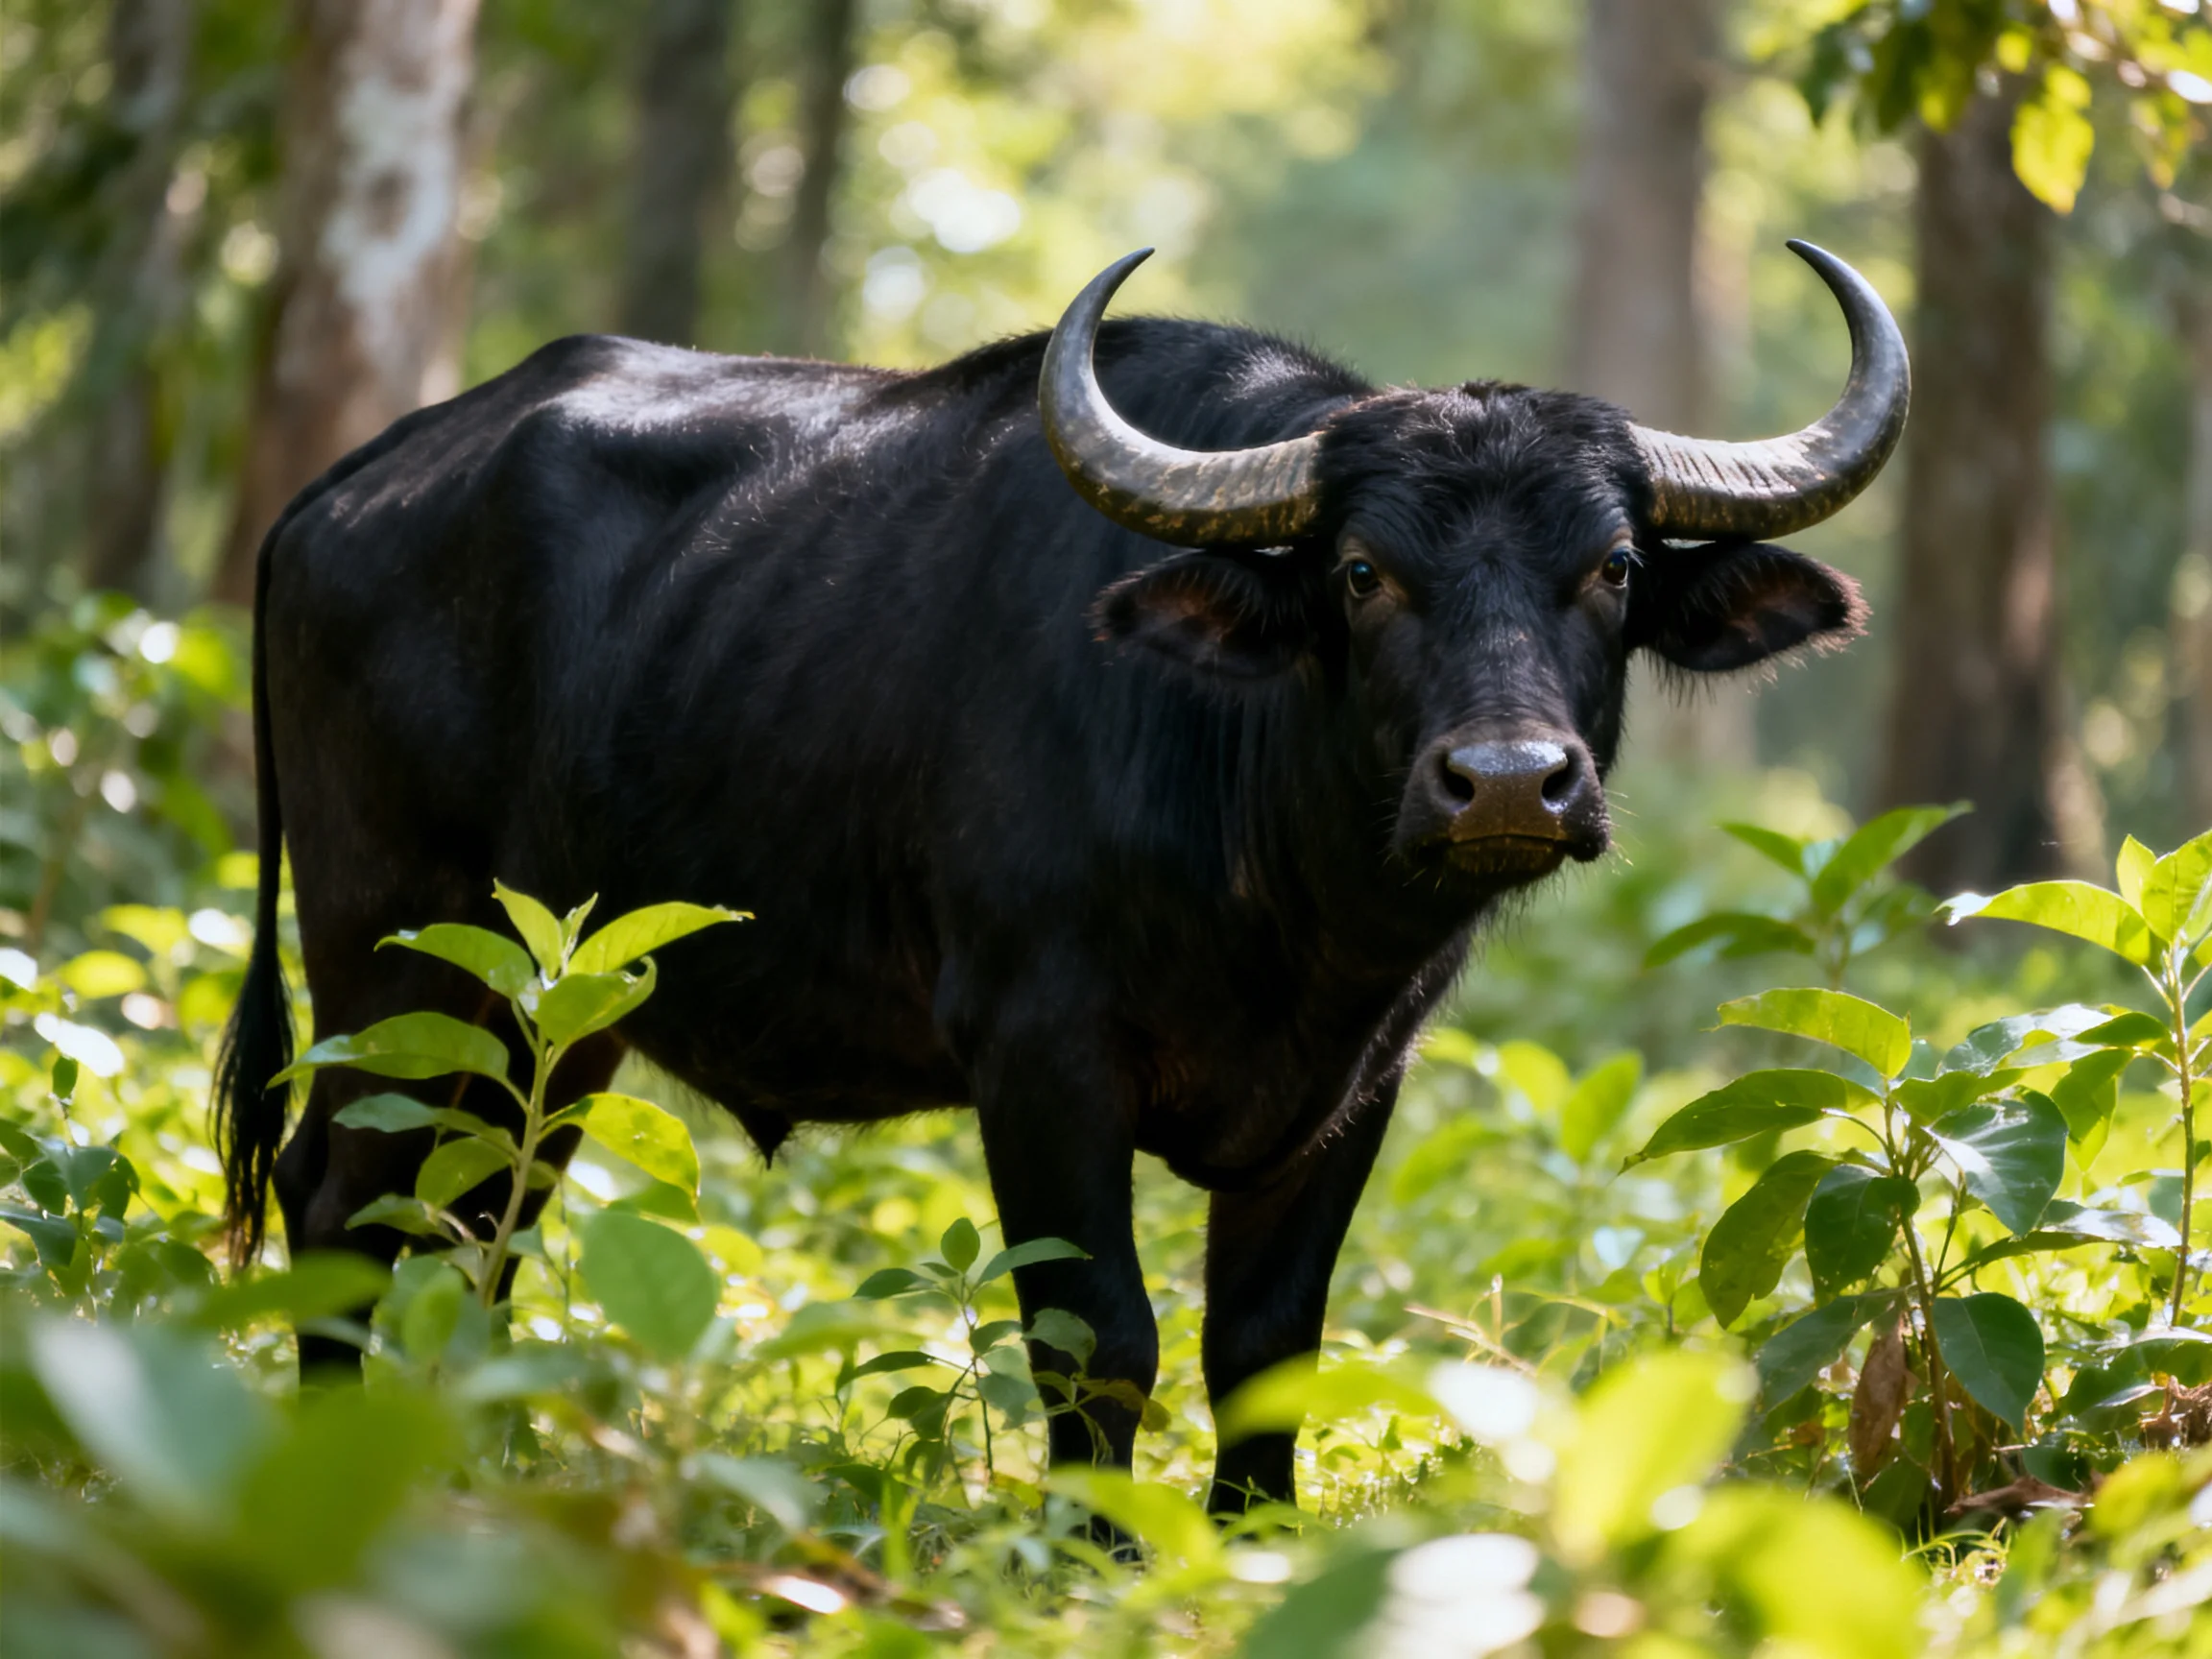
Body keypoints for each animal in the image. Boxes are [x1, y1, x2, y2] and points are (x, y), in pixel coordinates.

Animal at [215, 241, 1906, 1513]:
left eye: (1611, 567)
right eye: (1364, 573)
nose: (1505, 784)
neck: (1282, 899)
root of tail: (343, 491)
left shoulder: (1359, 1085)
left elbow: (1266, 1345)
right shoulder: (1037, 1055)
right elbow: (1102, 1339)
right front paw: (1094, 1556)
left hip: (558, 1015)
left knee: (472, 1228)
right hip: (392, 953)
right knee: (341, 1202)